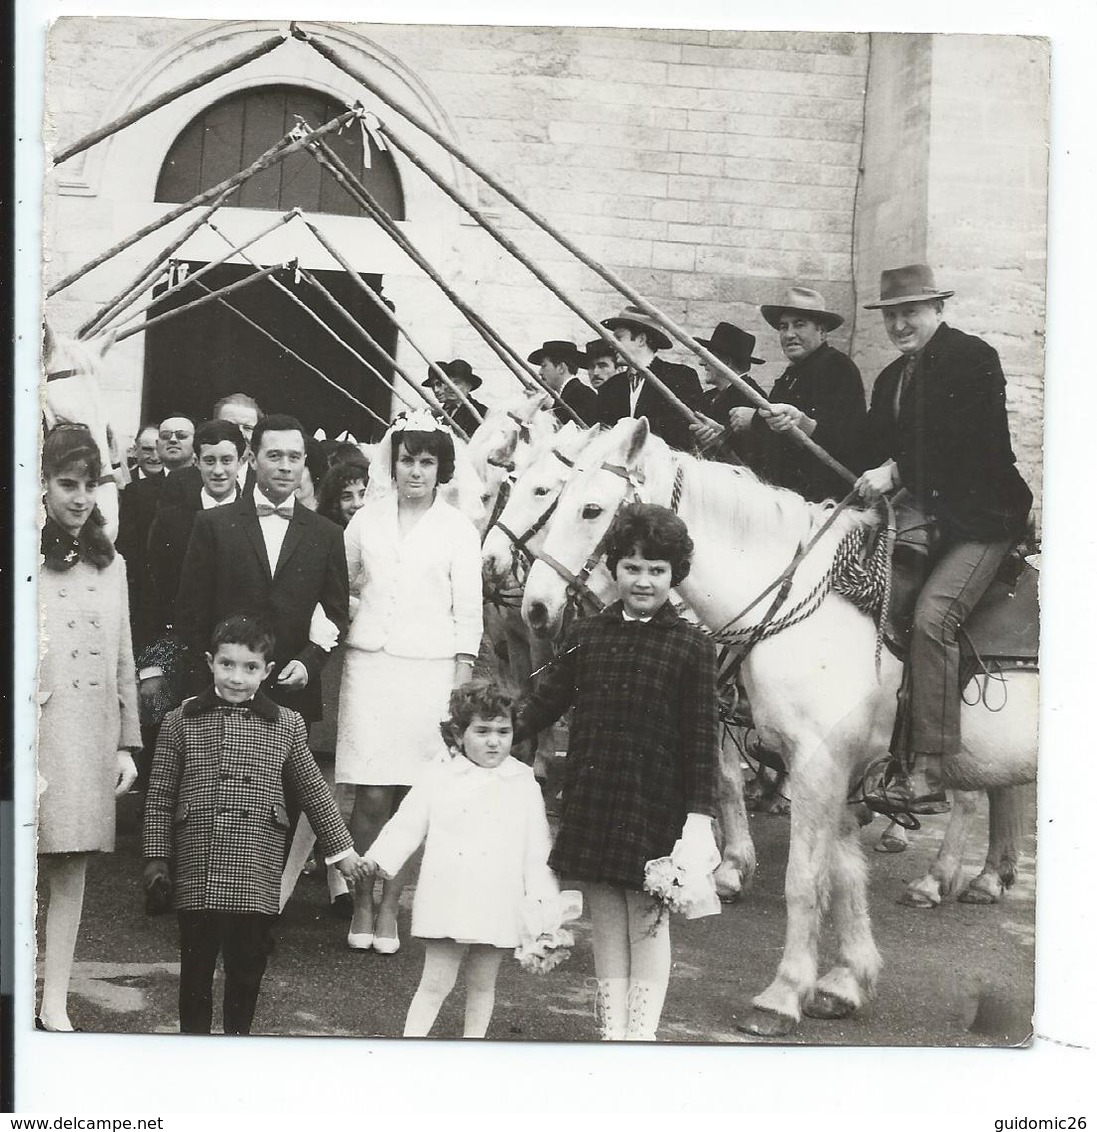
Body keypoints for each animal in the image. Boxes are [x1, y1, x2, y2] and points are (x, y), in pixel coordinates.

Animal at [523, 418, 1036, 1036]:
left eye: (592, 509)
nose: (535, 608)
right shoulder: (838, 771)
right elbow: (844, 876)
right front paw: (845, 983)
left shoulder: (817, 763)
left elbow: (804, 879)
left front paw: (782, 995)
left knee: (969, 802)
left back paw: (943, 880)